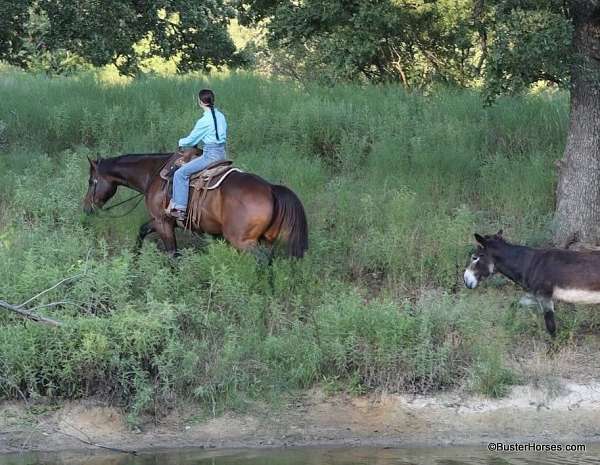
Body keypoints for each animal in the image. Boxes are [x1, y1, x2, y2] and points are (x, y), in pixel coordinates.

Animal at [83, 152, 310, 256]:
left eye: (91, 181)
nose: (86, 208)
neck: (153, 174)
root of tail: (271, 189)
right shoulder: (161, 220)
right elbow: (142, 231)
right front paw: (134, 258)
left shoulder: (163, 223)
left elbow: (173, 254)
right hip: (267, 239)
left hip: (243, 241)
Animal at [464, 230, 600, 336]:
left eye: (475, 257)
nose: (465, 280)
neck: (529, 264)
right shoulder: (533, 295)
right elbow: (514, 305)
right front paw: (508, 325)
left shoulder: (544, 296)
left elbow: (551, 326)